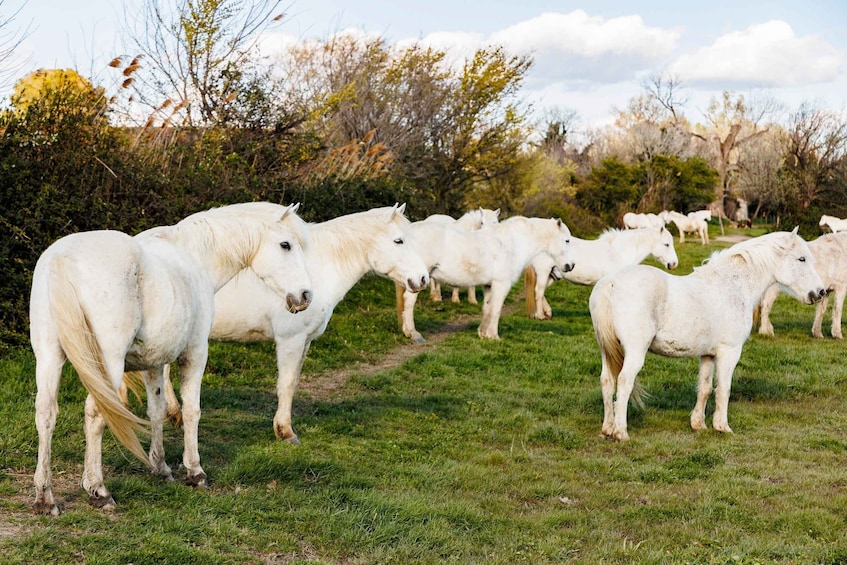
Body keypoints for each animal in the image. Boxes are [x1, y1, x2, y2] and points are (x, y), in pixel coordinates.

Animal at [29, 202, 313, 515]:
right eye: (285, 245)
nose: (305, 295)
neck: (194, 256)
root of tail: (63, 257)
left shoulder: (153, 363)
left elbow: (157, 410)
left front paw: (160, 468)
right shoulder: (196, 353)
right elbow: (191, 411)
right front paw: (195, 472)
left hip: (49, 357)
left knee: (46, 414)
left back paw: (45, 497)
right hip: (106, 365)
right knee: (95, 414)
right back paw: (99, 490)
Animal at [155, 204, 430, 445]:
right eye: (398, 241)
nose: (423, 279)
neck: (318, 268)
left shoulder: (305, 342)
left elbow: (294, 382)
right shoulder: (291, 340)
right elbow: (285, 385)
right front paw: (285, 432)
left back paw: (174, 414)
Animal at [397, 216, 575, 342]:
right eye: (567, 240)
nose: (570, 265)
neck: (512, 243)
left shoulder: (489, 286)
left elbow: (487, 308)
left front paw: (483, 334)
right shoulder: (501, 284)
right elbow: (496, 309)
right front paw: (494, 336)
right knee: (409, 302)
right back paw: (412, 333)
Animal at [524, 226, 678, 320]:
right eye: (666, 244)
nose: (674, 264)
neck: (619, 251)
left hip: (552, 275)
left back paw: (547, 312)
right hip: (544, 272)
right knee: (538, 291)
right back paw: (540, 316)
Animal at [589, 228, 826, 441]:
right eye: (802, 258)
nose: (820, 292)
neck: (732, 286)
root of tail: (609, 283)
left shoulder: (708, 355)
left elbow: (704, 388)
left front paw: (698, 425)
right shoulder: (729, 352)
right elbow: (724, 389)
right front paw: (722, 427)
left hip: (606, 350)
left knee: (607, 381)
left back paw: (607, 429)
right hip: (635, 352)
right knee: (624, 382)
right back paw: (621, 433)